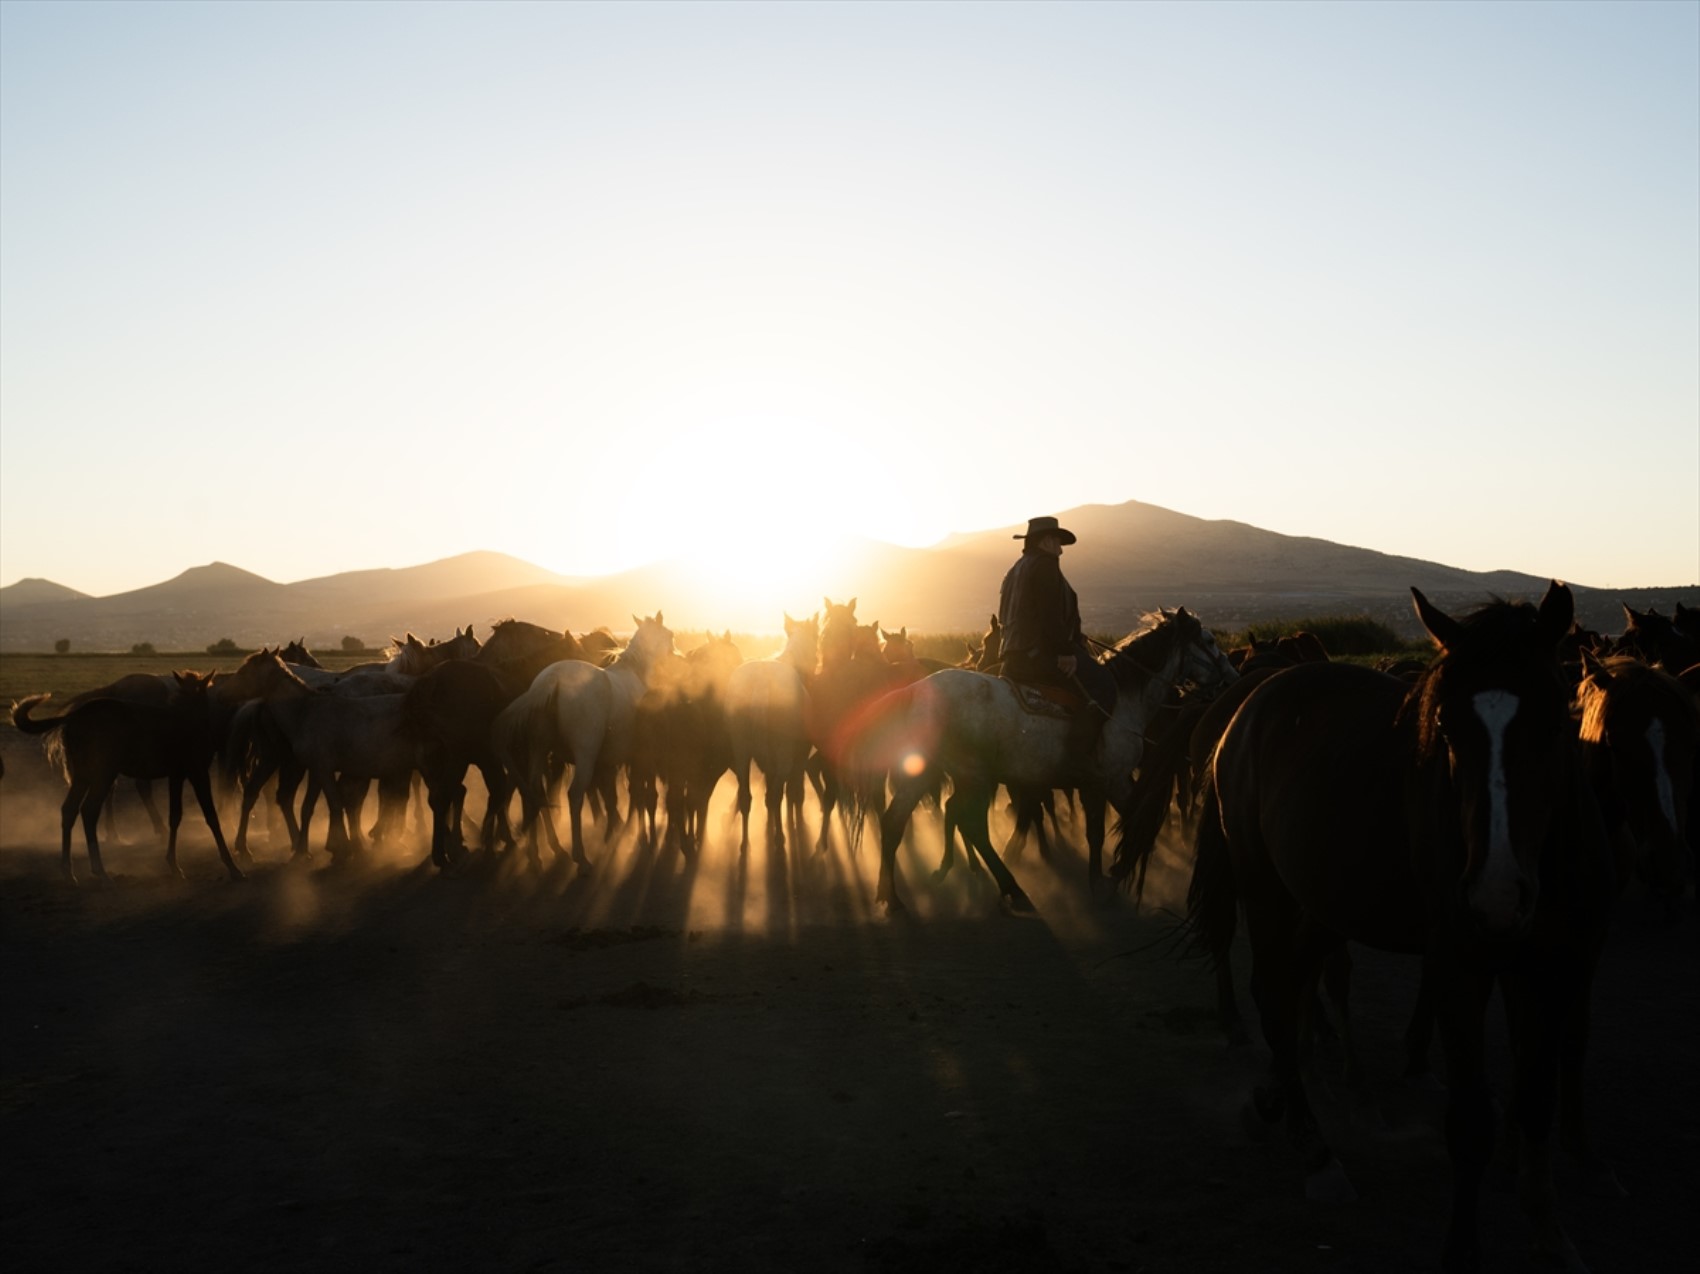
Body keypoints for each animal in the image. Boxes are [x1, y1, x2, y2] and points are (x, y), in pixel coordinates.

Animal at [493, 612, 669, 864]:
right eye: (669, 635)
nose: (676, 656)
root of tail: (551, 682)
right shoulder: (639, 758)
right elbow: (641, 796)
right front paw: (641, 838)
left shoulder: (608, 763)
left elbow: (613, 798)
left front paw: (615, 832)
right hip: (584, 757)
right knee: (574, 794)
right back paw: (580, 855)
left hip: (539, 750)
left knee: (535, 791)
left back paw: (539, 849)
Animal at [720, 612, 819, 853]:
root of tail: (761, 686)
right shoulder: (799, 754)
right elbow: (794, 793)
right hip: (783, 755)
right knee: (775, 796)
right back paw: (779, 838)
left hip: (741, 751)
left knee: (747, 796)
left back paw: (745, 842)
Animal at [863, 605, 1237, 911]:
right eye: (1208, 640)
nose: (1232, 677)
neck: (1124, 700)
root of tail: (914, 690)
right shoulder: (1104, 780)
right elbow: (1104, 829)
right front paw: (1105, 881)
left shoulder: (1109, 782)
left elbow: (1132, 821)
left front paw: (1115, 873)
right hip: (974, 775)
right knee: (968, 824)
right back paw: (1010, 888)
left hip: (928, 772)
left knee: (897, 821)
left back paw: (892, 895)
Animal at [1190, 581, 1611, 1265]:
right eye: (1445, 726)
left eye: (1555, 724)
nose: (1496, 895)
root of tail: (1247, 707)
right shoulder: (1459, 967)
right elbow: (1471, 1123)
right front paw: (1462, 1248)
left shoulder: (1550, 967)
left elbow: (1535, 1100)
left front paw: (1550, 1232)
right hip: (1266, 887)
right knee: (1274, 995)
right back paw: (1316, 1152)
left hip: (1323, 903)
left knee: (1292, 985)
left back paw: (1275, 1101)